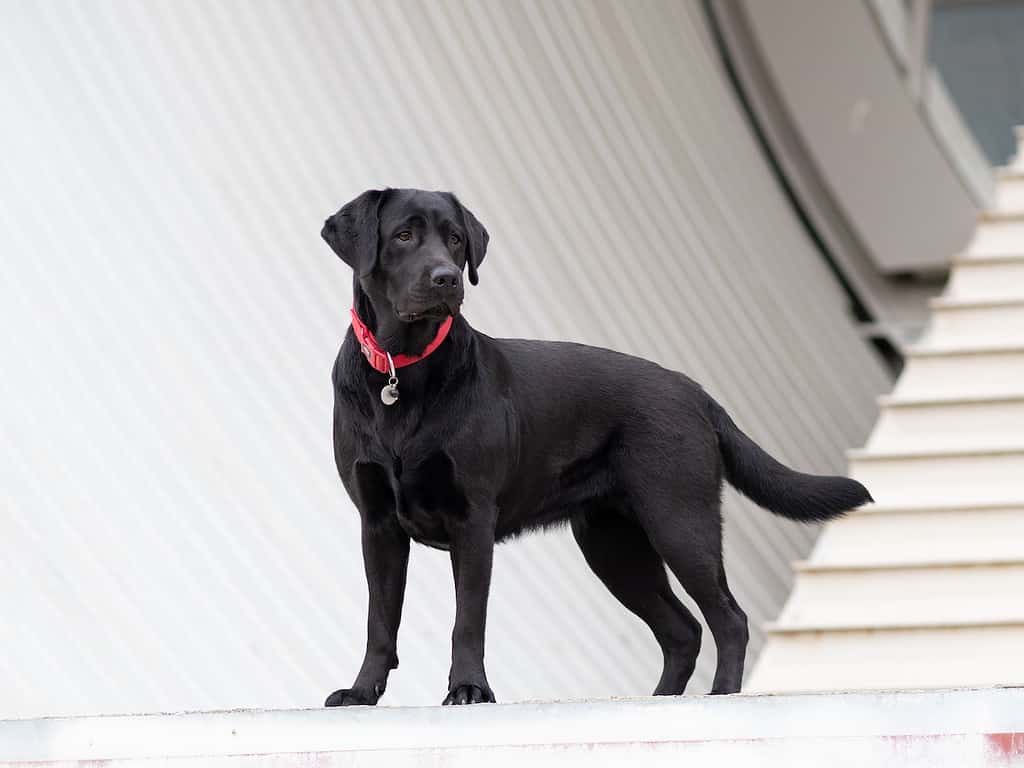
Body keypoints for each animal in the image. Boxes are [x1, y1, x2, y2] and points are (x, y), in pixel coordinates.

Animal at [321, 189, 872, 708]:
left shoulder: (471, 519)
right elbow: (380, 621)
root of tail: (694, 390)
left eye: (455, 239)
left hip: (679, 520)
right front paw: (361, 692)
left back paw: (721, 696)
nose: (447, 279)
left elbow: (468, 619)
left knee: (728, 618)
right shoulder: (378, 524)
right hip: (614, 545)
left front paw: (469, 689)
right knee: (683, 630)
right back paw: (660, 699)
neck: (403, 371)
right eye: (404, 236)